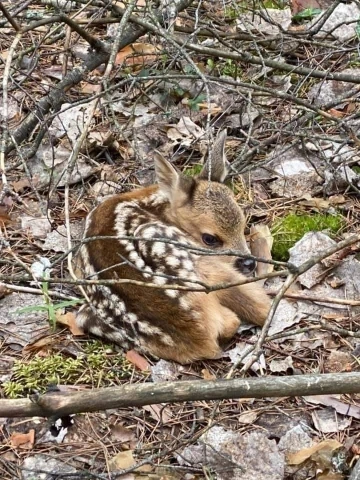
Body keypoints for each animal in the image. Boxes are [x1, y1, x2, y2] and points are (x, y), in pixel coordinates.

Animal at [76, 131, 270, 364]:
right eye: (210, 238)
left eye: (243, 224)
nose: (249, 263)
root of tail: (199, 336)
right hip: (163, 241)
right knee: (245, 314)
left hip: (85, 315)